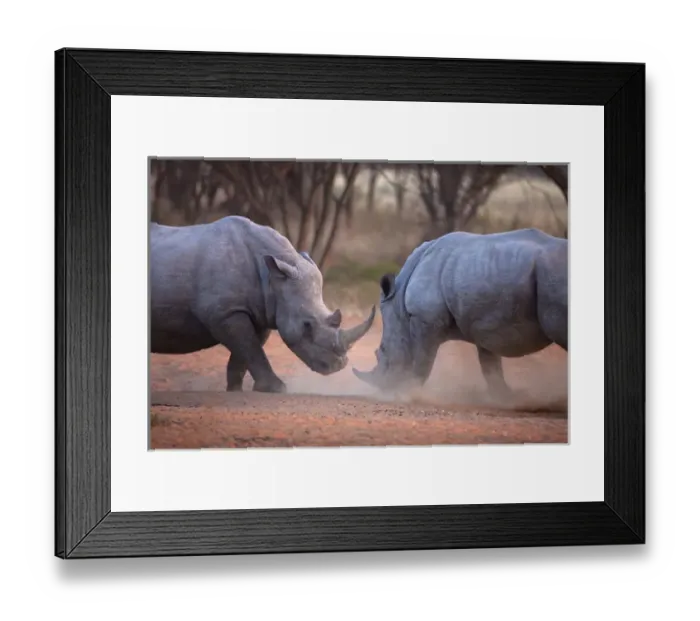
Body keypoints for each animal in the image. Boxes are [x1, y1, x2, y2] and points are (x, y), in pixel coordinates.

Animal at [150, 215, 376, 393]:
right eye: (307, 326)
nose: (338, 365)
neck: (273, 278)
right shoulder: (224, 312)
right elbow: (250, 348)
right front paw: (277, 388)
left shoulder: (261, 311)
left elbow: (247, 350)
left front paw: (236, 389)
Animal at [353, 228, 567, 398]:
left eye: (383, 351)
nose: (385, 389)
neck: (399, 303)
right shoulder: (486, 324)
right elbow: (490, 366)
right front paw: (505, 398)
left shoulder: (425, 320)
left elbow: (422, 361)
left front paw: (407, 393)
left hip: (553, 275)